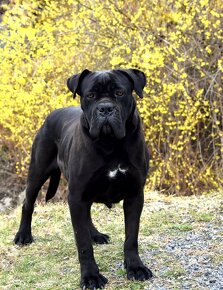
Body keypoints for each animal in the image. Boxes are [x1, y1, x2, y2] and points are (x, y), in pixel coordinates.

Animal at [14, 69, 153, 288]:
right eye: (90, 95)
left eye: (120, 93)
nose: (105, 108)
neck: (110, 143)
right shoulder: (77, 195)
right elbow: (83, 243)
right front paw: (91, 276)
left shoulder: (134, 195)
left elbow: (131, 236)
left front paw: (135, 267)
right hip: (37, 173)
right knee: (28, 204)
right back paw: (23, 236)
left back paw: (96, 234)